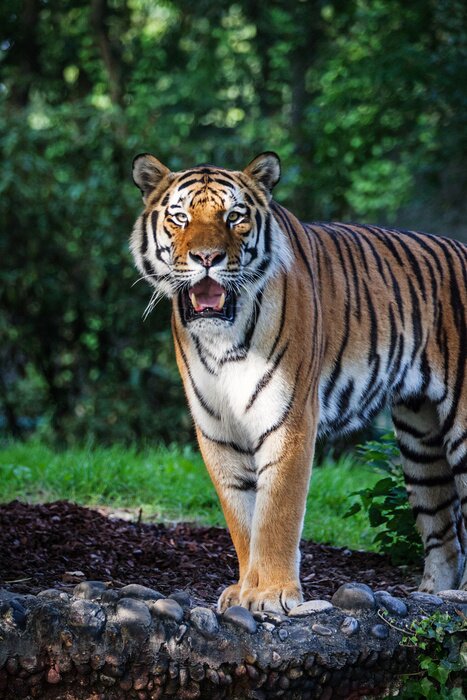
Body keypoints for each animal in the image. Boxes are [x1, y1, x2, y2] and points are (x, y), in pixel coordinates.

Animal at [130, 151, 467, 614]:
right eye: (180, 218)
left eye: (235, 217)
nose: (206, 258)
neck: (222, 339)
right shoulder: (217, 430)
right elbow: (241, 516)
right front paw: (244, 590)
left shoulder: (288, 419)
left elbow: (277, 512)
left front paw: (272, 593)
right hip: (421, 443)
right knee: (443, 532)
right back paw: (435, 593)